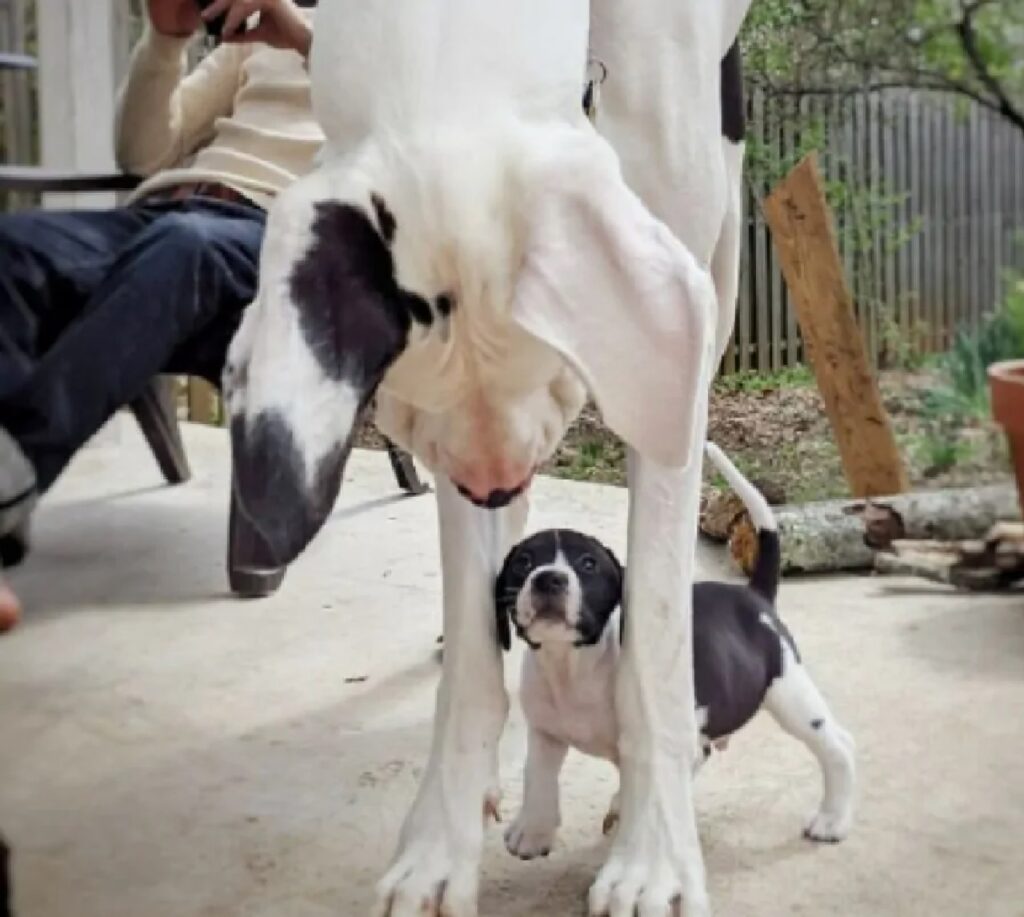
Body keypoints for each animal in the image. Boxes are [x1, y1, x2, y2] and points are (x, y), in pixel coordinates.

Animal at [224, 1, 753, 917]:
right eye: (406, 404)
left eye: (551, 370)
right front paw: (441, 844)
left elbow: (652, 641)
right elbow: (475, 662)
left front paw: (652, 852)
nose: (493, 484)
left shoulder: (663, 361)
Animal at [495, 444, 856, 859]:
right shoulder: (546, 731)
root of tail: (753, 595)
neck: (574, 664)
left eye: (588, 564)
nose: (548, 579)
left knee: (838, 746)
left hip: (789, 691)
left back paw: (833, 820)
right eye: (524, 561)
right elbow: (537, 776)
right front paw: (532, 831)